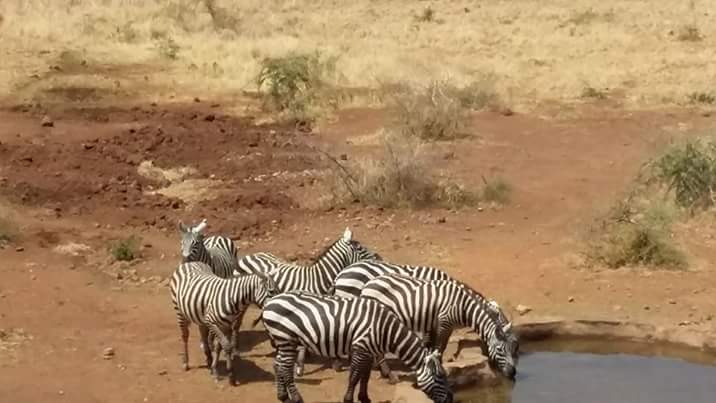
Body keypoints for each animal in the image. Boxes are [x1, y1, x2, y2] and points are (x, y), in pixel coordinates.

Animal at [261, 290, 454, 403]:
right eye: (440, 377)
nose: (451, 400)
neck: (384, 329)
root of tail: (269, 302)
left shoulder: (369, 351)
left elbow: (364, 377)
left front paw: (364, 397)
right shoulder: (361, 348)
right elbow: (354, 376)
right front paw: (348, 399)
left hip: (283, 341)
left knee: (278, 365)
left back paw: (282, 396)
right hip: (286, 339)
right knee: (286, 369)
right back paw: (296, 398)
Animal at [359, 273, 519, 382]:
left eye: (511, 348)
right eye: (500, 350)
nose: (513, 373)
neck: (463, 306)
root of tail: (368, 284)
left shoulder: (441, 325)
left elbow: (435, 346)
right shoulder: (443, 323)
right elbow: (439, 347)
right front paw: (439, 368)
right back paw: (391, 375)